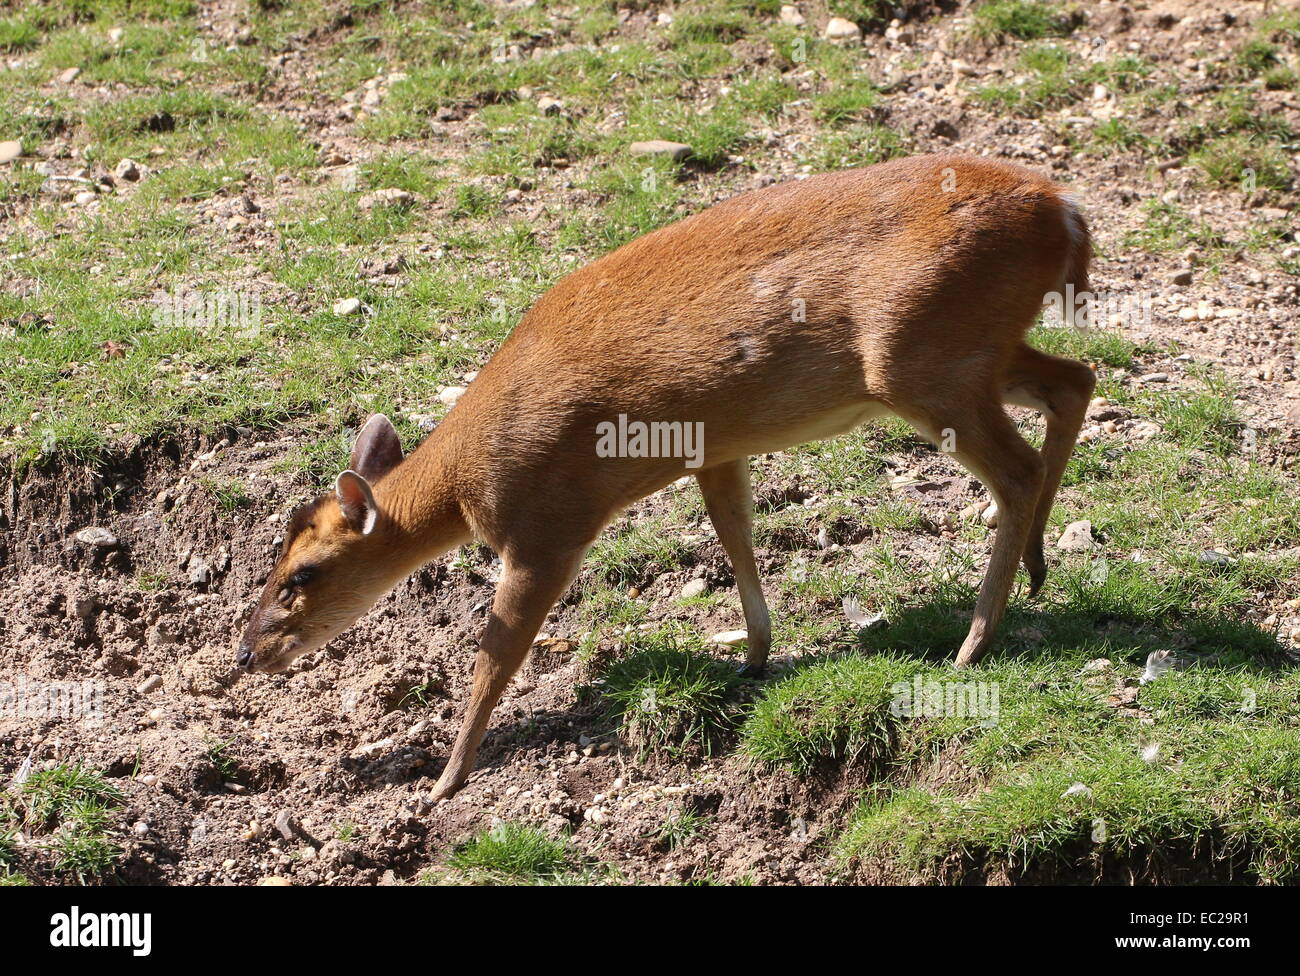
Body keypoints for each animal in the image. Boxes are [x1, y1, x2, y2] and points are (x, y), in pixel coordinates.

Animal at [236, 150, 1097, 795]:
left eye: (302, 573)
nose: (247, 654)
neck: (466, 484)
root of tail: (1065, 210)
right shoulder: (715, 449)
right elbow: (736, 533)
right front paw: (754, 656)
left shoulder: (546, 524)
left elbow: (495, 652)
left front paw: (446, 779)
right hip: (974, 350)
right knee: (1075, 380)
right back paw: (1038, 567)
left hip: (922, 355)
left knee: (1018, 465)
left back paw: (975, 640)